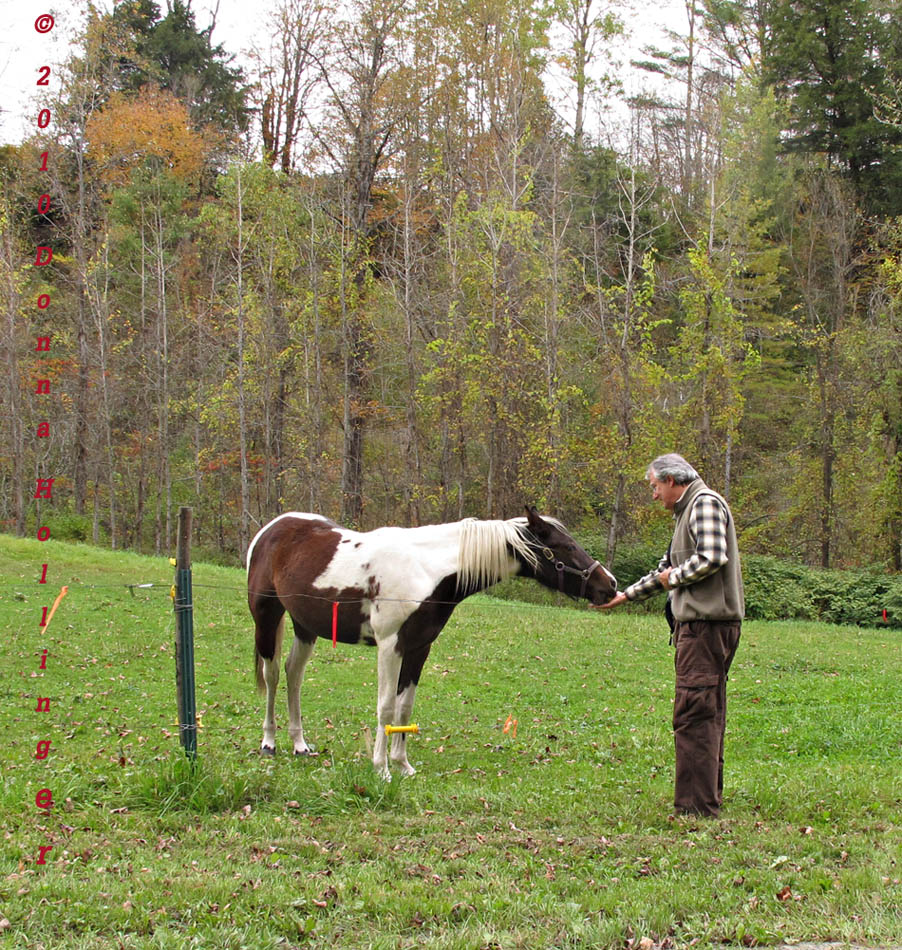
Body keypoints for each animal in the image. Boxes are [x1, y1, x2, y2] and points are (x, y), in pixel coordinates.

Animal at [245, 506, 620, 780]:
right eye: (565, 547)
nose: (611, 585)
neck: (426, 569)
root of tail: (272, 528)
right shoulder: (390, 646)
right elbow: (385, 707)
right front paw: (381, 769)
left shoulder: (418, 648)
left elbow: (405, 706)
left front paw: (402, 765)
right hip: (267, 618)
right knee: (272, 675)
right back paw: (269, 742)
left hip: (305, 627)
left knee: (294, 675)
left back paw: (299, 744)